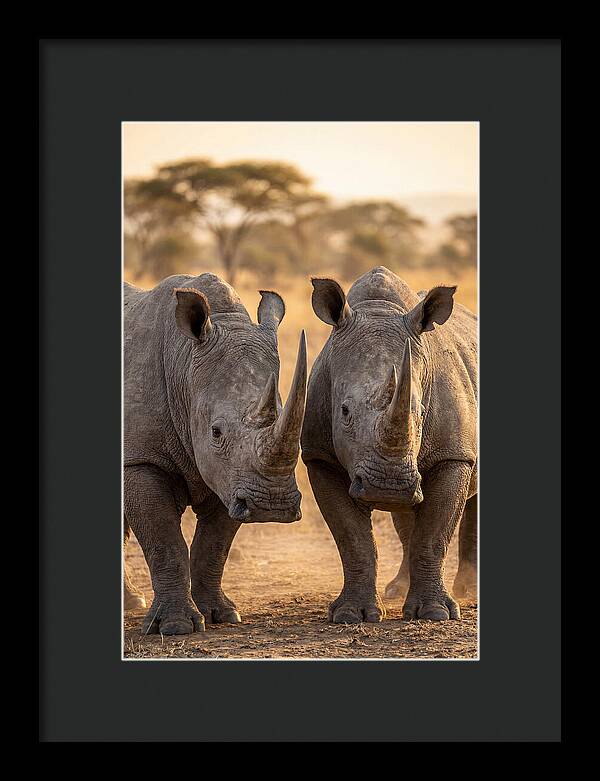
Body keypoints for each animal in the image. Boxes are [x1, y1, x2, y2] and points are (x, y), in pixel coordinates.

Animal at [123, 273, 307, 635]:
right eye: (216, 432)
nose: (272, 506)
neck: (184, 364)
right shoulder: (140, 458)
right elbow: (164, 540)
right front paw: (176, 626)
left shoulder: (232, 477)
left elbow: (214, 544)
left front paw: (221, 615)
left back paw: (131, 602)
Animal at [301, 266, 477, 622]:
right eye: (344, 411)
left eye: (420, 411)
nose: (388, 486)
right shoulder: (320, 457)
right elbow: (352, 540)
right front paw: (351, 615)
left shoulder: (454, 455)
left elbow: (434, 535)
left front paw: (436, 614)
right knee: (407, 516)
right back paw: (397, 589)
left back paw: (469, 590)